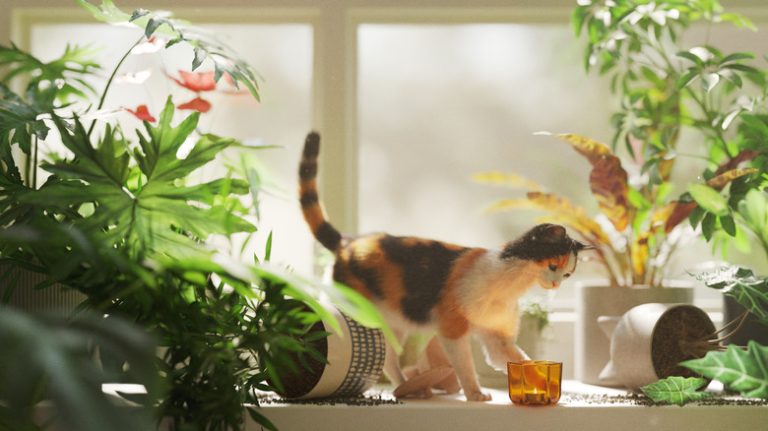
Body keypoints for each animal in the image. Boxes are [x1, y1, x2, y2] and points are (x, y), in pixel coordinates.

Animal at [296, 131, 584, 402]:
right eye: (554, 265)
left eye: (568, 274)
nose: (556, 283)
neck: (509, 285)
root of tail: (348, 242)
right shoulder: (452, 328)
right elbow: (465, 365)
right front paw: (475, 393)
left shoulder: (496, 338)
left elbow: (518, 360)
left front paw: (544, 384)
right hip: (363, 312)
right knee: (387, 359)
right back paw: (410, 389)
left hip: (396, 322)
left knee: (390, 358)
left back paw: (414, 388)